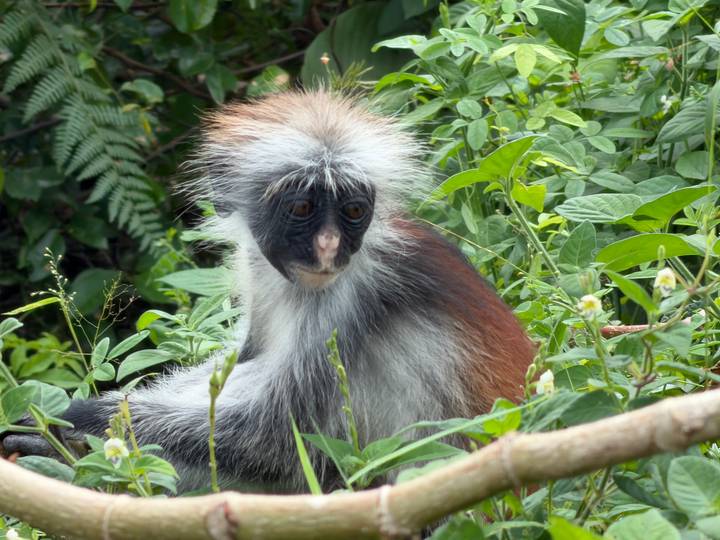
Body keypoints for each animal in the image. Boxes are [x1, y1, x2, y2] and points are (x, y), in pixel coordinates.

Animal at [2, 90, 535, 492]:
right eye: (301, 208)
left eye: (353, 211)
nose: (329, 247)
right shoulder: (259, 269)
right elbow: (246, 357)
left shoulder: (348, 299)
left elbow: (271, 441)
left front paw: (74, 422)